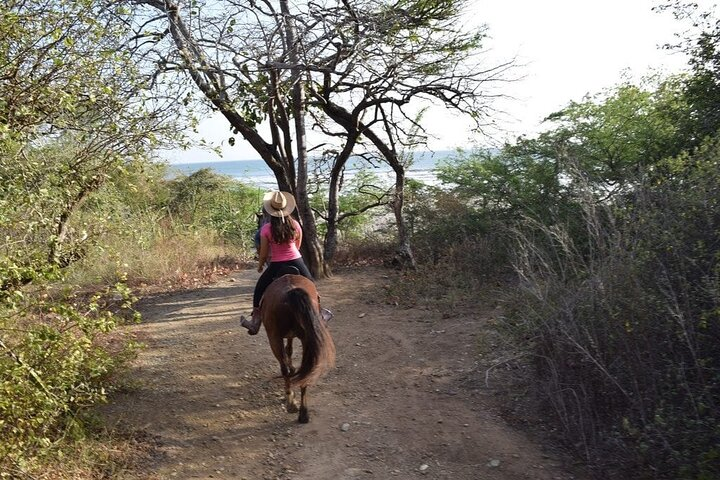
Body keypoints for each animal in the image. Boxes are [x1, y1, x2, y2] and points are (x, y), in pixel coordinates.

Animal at [260, 274, 336, 424]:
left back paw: (291, 403)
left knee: (283, 368)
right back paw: (303, 413)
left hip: (274, 338)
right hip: (307, 339)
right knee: (306, 370)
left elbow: (287, 353)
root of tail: (291, 291)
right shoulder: (291, 336)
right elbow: (289, 350)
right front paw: (293, 369)